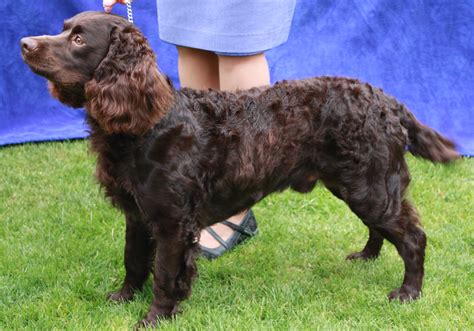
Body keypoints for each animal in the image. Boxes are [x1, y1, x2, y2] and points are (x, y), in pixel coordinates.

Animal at [22, 11, 460, 328]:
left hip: (371, 185)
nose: (25, 44)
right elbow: (133, 259)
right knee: (381, 228)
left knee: (413, 238)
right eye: (63, 29)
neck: (148, 122)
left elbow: (163, 274)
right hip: (357, 184)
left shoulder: (172, 222)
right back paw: (367, 257)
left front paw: (154, 317)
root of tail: (385, 100)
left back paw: (408, 293)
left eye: (79, 40)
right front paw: (122, 297)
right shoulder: (137, 213)